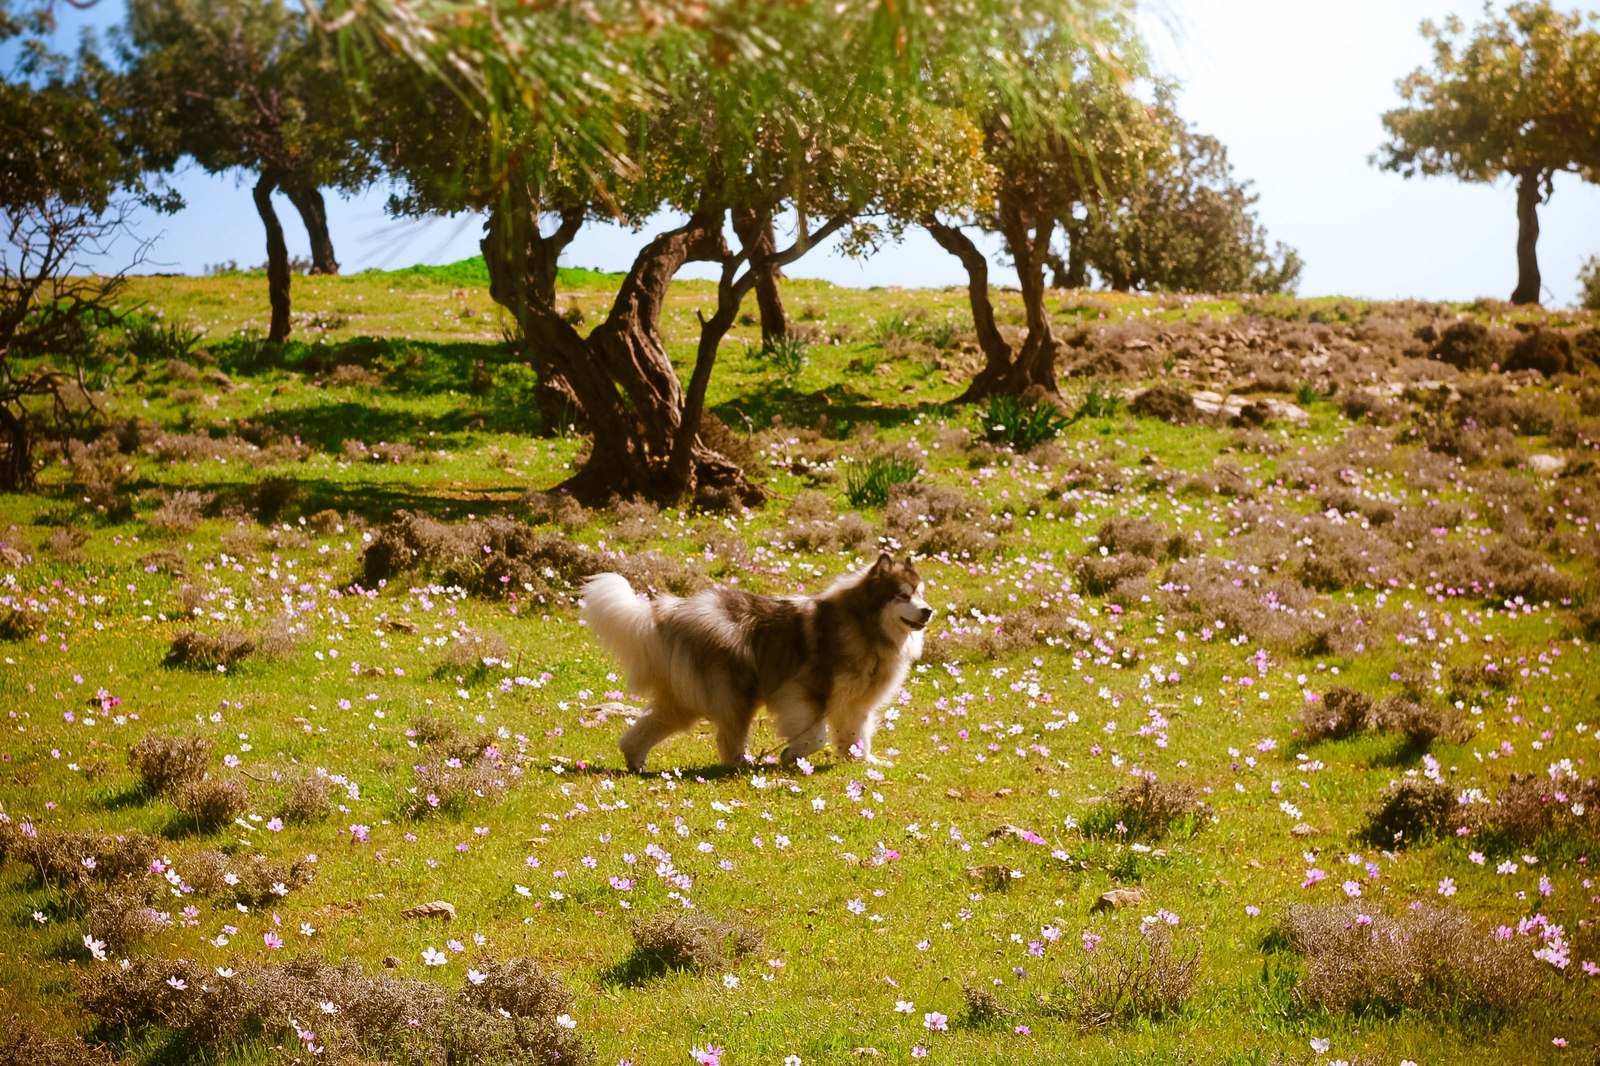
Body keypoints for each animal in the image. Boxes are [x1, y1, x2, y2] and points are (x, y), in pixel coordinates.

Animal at [579, 550, 934, 768]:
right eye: (902, 595)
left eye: (920, 594)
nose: (929, 611)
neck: (865, 628)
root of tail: (671, 611)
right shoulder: (805, 692)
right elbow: (815, 735)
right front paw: (794, 755)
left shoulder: (856, 702)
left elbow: (857, 736)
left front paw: (864, 762)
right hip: (733, 693)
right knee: (728, 737)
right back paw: (741, 764)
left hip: (684, 699)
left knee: (649, 725)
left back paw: (635, 760)